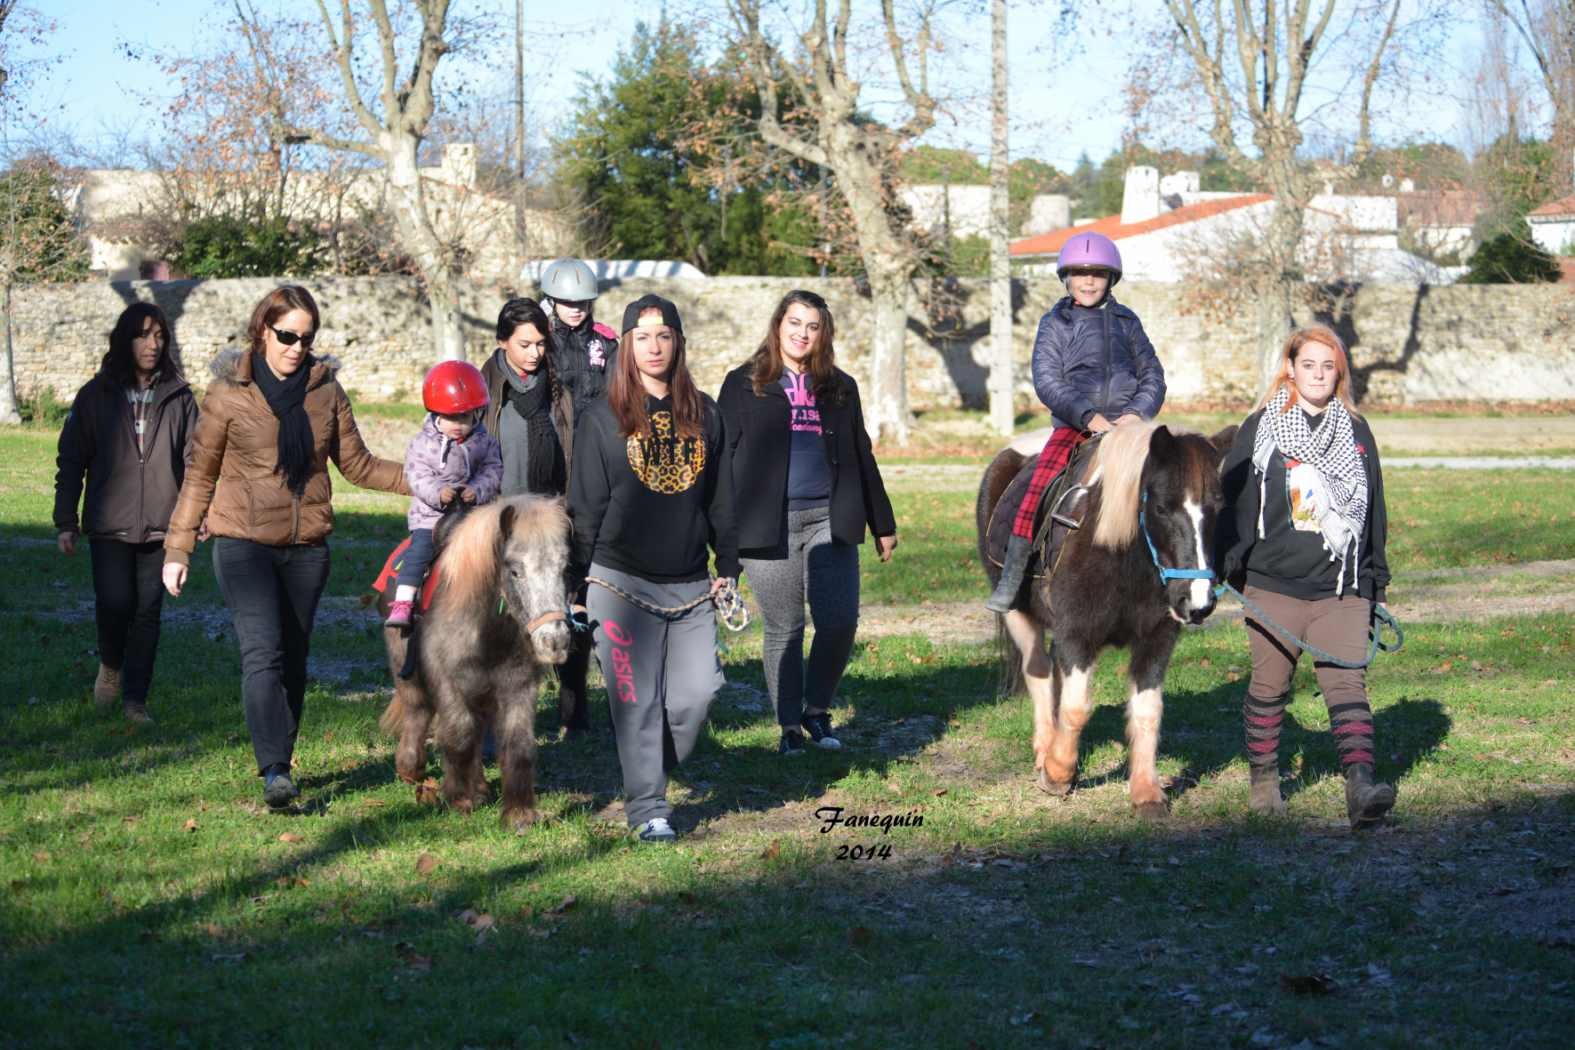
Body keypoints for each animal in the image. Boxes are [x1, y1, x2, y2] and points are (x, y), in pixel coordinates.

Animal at [378, 497, 576, 831]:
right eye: (514, 570)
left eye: (564, 568)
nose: (555, 641)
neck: (486, 628)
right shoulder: (449, 684)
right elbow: (459, 735)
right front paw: (459, 799)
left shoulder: (518, 687)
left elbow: (518, 744)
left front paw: (519, 814)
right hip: (410, 676)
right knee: (419, 712)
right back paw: (411, 769)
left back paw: (480, 786)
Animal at [976, 421, 1234, 818]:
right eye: (1161, 507)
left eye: (1217, 507)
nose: (1198, 602)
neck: (1123, 558)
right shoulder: (1077, 635)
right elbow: (1076, 707)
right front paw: (1057, 774)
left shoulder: (1157, 641)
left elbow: (1147, 711)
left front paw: (1146, 793)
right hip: (1019, 614)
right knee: (1038, 672)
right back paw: (1044, 751)